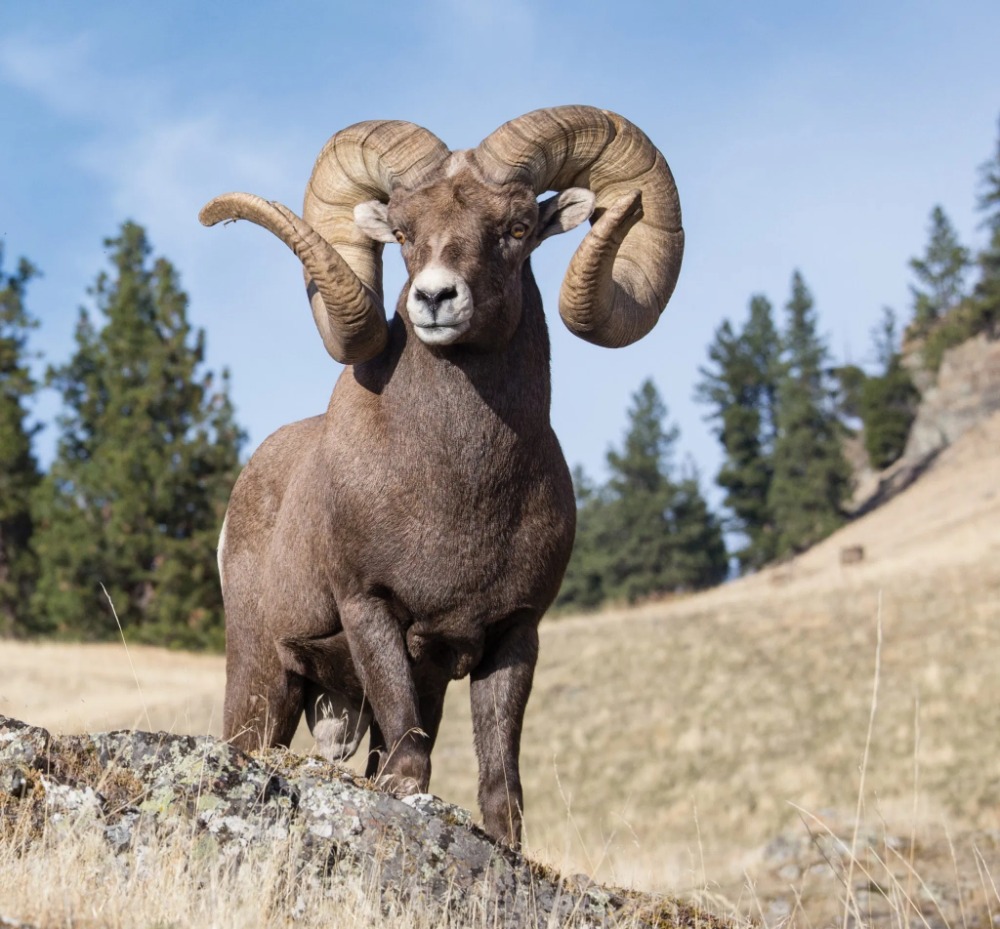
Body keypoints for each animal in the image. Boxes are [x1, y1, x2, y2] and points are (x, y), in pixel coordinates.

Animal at [200, 105, 683, 846]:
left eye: (517, 228)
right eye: (402, 232)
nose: (435, 298)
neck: (459, 491)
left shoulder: (509, 637)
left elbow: (500, 786)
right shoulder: (372, 612)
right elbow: (409, 766)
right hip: (264, 674)